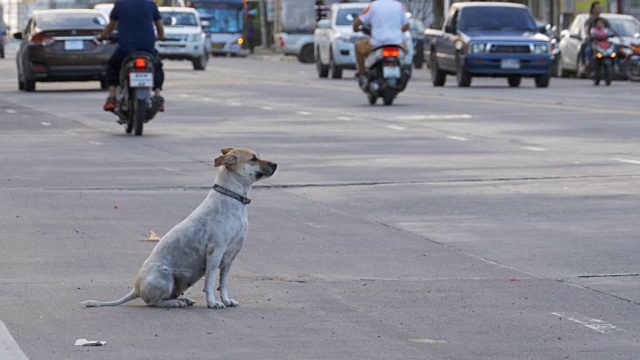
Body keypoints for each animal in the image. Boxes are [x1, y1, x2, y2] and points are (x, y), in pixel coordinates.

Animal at [82, 148, 278, 308]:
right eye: (253, 159)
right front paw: (212, 303)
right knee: (154, 302)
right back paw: (175, 303)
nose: (276, 164)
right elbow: (210, 283)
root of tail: (136, 289)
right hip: (165, 275)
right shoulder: (215, 252)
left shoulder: (230, 257)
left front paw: (226, 300)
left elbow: (223, 284)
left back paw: (182, 299)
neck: (232, 198)